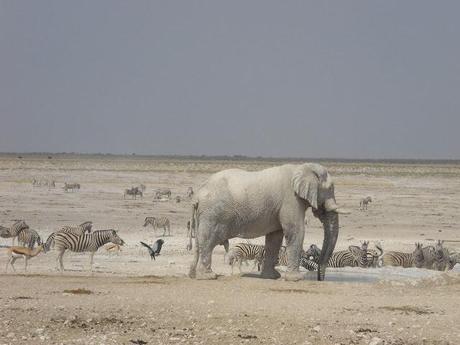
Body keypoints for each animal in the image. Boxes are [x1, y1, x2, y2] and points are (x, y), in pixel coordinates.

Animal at [187, 162, 344, 280]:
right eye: (330, 188)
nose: (319, 279)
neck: (302, 167)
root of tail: (197, 195)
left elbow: (275, 237)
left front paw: (272, 277)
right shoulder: (291, 200)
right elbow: (295, 231)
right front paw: (296, 279)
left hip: (203, 215)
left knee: (199, 244)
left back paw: (193, 275)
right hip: (212, 214)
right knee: (208, 242)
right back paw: (208, 276)